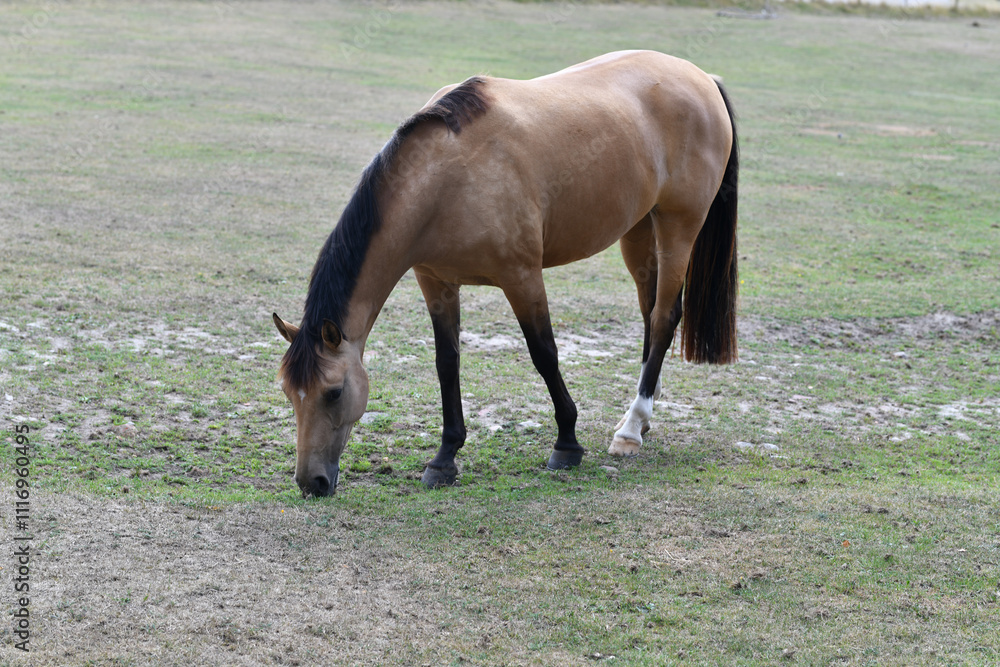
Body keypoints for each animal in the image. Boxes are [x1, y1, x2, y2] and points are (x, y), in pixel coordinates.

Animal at [273, 50, 739, 497]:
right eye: (289, 393)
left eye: (333, 392)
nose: (311, 483)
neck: (448, 177)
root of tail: (701, 78)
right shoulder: (436, 282)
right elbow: (447, 363)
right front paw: (444, 458)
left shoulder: (522, 277)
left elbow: (544, 354)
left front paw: (567, 443)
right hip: (639, 230)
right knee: (649, 312)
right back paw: (645, 409)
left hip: (678, 227)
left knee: (663, 318)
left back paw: (631, 427)